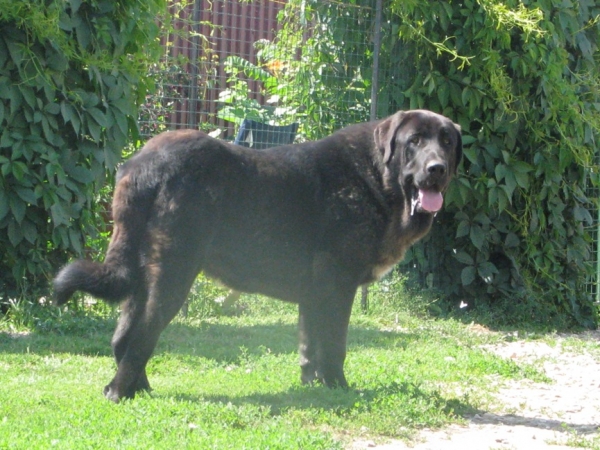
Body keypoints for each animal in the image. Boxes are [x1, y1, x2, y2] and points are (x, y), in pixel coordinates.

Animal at [54, 108, 462, 400]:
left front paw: (312, 386)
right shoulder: (338, 286)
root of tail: (143, 164)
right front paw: (339, 388)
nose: (437, 168)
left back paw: (137, 389)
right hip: (173, 274)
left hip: (143, 274)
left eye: (446, 141)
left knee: (122, 337)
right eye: (414, 141)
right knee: (142, 335)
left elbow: (309, 345)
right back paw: (120, 393)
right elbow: (334, 345)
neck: (377, 176)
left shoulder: (315, 293)